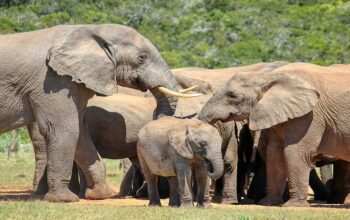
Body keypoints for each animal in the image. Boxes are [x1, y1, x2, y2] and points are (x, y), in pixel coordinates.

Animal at [0, 23, 200, 201]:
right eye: (142, 57)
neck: (90, 29)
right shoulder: (52, 81)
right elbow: (64, 129)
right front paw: (64, 199)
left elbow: (80, 133)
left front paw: (101, 195)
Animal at [198, 62, 350, 207]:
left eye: (232, 96)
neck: (269, 76)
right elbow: (274, 153)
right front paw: (268, 203)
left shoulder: (310, 115)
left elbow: (295, 151)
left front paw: (292, 206)